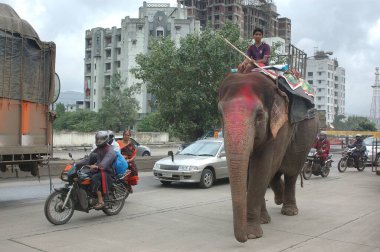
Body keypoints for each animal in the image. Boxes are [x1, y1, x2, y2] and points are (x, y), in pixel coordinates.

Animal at [218, 70, 320, 242]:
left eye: (259, 115)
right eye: (220, 115)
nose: (243, 239)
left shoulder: (278, 129)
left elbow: (261, 168)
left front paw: (253, 234)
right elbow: (252, 171)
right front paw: (262, 222)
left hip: (307, 132)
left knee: (291, 170)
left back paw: (289, 210)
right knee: (275, 172)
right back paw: (279, 198)